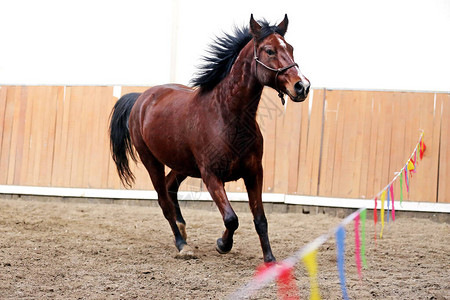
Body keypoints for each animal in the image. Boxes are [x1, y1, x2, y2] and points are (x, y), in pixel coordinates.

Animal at [110, 15, 310, 262]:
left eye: (290, 48)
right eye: (270, 50)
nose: (302, 86)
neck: (228, 118)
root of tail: (142, 98)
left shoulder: (254, 173)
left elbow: (260, 219)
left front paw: (270, 260)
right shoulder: (211, 176)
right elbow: (231, 219)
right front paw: (222, 244)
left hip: (183, 165)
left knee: (170, 187)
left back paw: (183, 228)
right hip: (151, 162)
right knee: (163, 200)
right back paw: (182, 244)